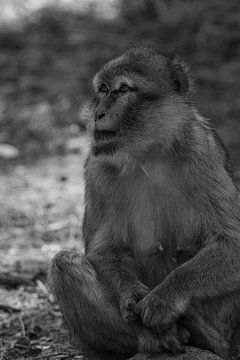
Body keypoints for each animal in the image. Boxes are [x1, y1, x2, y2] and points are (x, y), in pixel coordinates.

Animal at [48, 47, 240, 360]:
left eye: (123, 90)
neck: (149, 153)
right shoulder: (97, 169)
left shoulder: (202, 153)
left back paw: (202, 336)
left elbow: (232, 243)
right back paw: (160, 339)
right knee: (65, 265)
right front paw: (133, 296)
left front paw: (164, 299)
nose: (97, 113)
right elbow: (104, 250)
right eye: (103, 89)